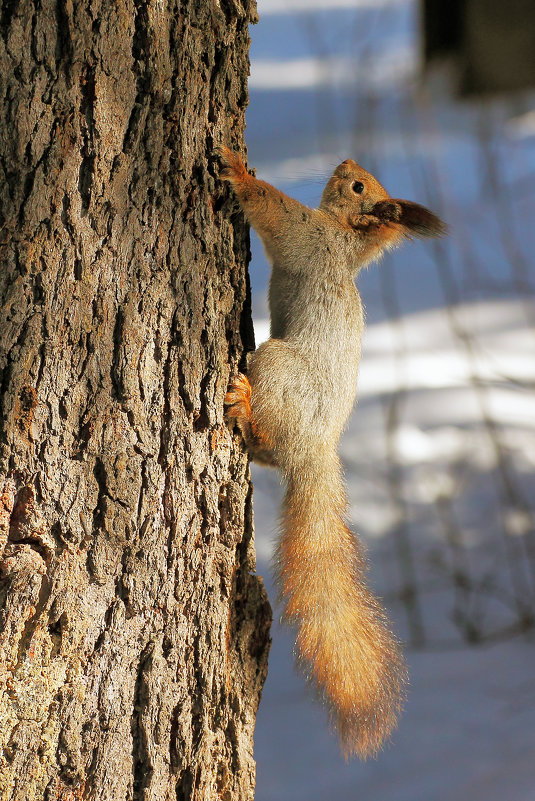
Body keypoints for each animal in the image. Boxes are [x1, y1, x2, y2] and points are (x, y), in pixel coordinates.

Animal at [216, 147, 446, 760]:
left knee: (261, 431)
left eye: (359, 186)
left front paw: (238, 171)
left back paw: (242, 402)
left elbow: (274, 211)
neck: (346, 240)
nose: (345, 161)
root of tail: (314, 451)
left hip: (277, 368)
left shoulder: (308, 236)